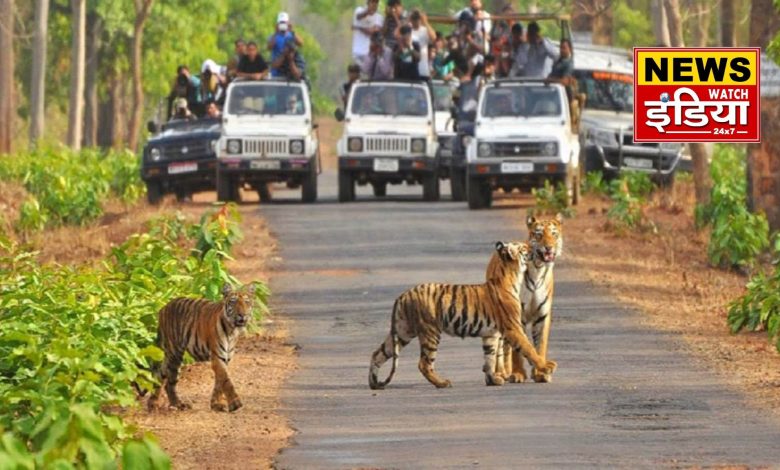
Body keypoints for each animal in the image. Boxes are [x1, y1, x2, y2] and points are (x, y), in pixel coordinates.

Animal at [148, 282, 254, 412]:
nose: (242, 315)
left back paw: (158, 403)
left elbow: (219, 382)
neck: (232, 330)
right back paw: (171, 404)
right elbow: (226, 380)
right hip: (174, 353)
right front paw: (235, 403)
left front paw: (216, 404)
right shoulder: (217, 357)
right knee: (168, 380)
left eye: (247, 302)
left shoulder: (225, 358)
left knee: (162, 376)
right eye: (233, 302)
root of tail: (164, 307)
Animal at [368, 241, 556, 392]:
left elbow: (490, 357)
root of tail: (403, 295)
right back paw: (442, 383)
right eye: (524, 247)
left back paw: (374, 383)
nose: (534, 246)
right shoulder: (513, 328)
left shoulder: (491, 334)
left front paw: (492, 380)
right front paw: (546, 367)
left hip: (402, 332)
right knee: (424, 364)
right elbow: (529, 349)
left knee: (377, 354)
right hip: (430, 332)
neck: (511, 276)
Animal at [496, 215, 564, 384]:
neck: (538, 269)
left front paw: (540, 373)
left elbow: (540, 345)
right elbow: (518, 349)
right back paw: (503, 372)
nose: (548, 247)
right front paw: (518, 373)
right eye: (539, 234)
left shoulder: (542, 316)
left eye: (554, 234)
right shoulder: (517, 316)